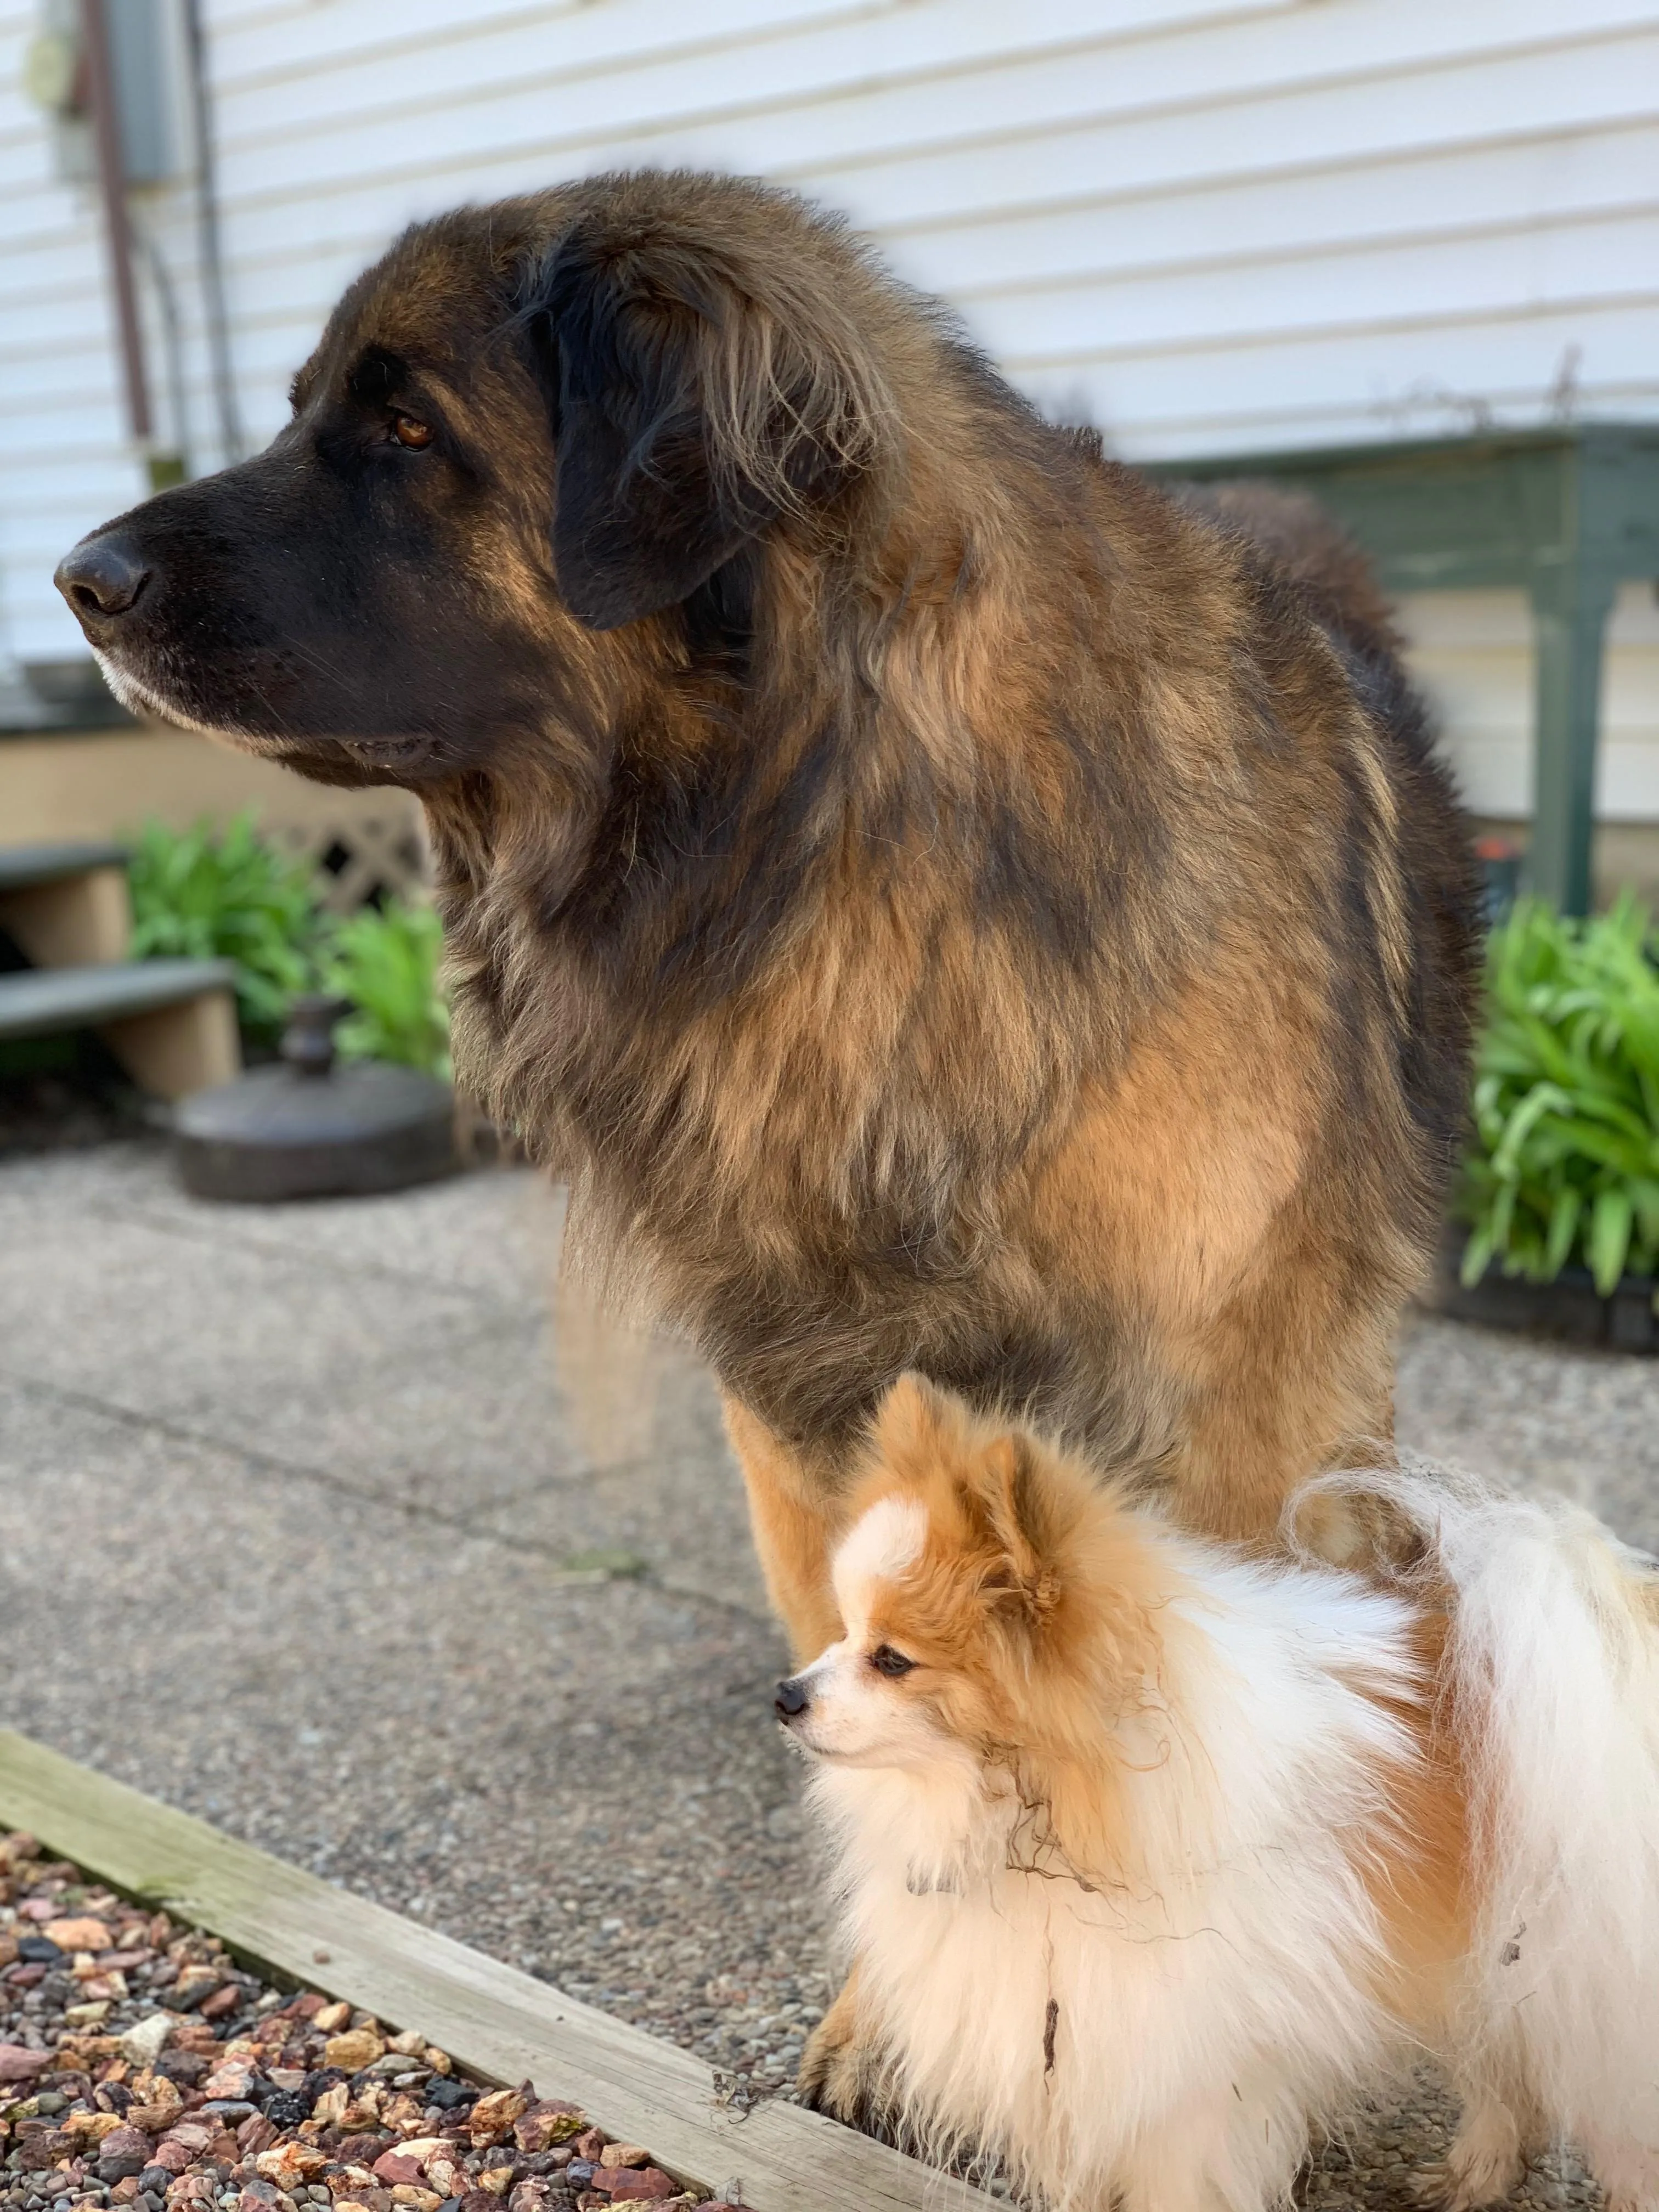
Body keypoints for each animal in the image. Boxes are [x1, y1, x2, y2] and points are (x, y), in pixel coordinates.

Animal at [58, 168, 1477, 1663]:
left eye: (407, 428)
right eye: (298, 412)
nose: (80, 583)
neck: (823, 839)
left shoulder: (1235, 1424)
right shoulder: (799, 1393)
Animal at [778, 1371, 1659, 2203]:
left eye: (892, 1660)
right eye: (843, 1632)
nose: (787, 1696)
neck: (1054, 1815)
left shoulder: (1187, 2090)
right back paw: (1472, 2175)